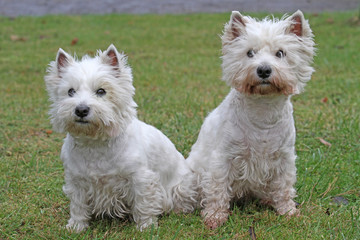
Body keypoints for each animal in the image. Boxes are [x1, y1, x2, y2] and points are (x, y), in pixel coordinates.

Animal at [45, 44, 197, 232]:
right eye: (70, 91)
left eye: (101, 91)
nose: (81, 110)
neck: (95, 143)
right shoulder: (76, 180)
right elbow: (78, 205)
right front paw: (76, 227)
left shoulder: (140, 178)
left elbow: (143, 203)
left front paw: (146, 227)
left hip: (182, 185)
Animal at [186, 10, 316, 229]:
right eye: (249, 53)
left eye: (280, 53)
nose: (263, 70)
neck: (262, 111)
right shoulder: (224, 157)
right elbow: (218, 188)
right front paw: (215, 217)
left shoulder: (284, 157)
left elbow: (284, 186)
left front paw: (288, 211)